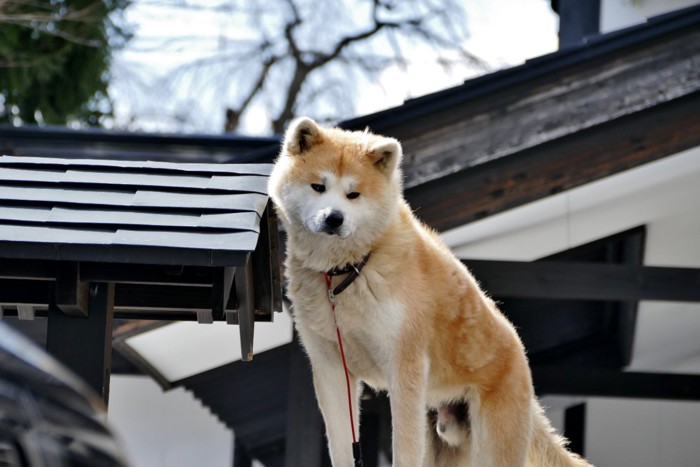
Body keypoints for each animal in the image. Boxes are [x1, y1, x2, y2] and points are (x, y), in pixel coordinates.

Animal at [268, 118, 592, 467]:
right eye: (318, 186)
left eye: (353, 194)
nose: (333, 218)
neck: (348, 273)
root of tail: (519, 356)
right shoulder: (331, 367)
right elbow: (342, 445)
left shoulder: (404, 365)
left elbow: (403, 447)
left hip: (491, 443)